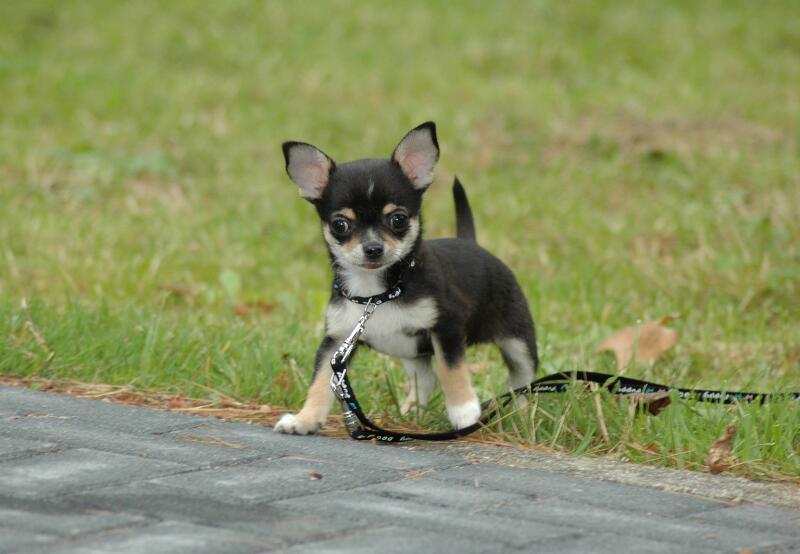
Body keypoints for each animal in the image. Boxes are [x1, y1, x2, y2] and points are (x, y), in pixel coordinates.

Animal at [274, 123, 536, 434]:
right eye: (340, 224)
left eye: (397, 219)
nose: (373, 248)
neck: (377, 294)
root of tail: (470, 242)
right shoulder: (337, 342)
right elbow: (320, 381)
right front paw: (305, 419)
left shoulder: (446, 327)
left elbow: (450, 369)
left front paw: (464, 411)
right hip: (410, 351)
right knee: (425, 378)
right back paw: (410, 413)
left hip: (517, 341)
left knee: (523, 383)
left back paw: (521, 419)